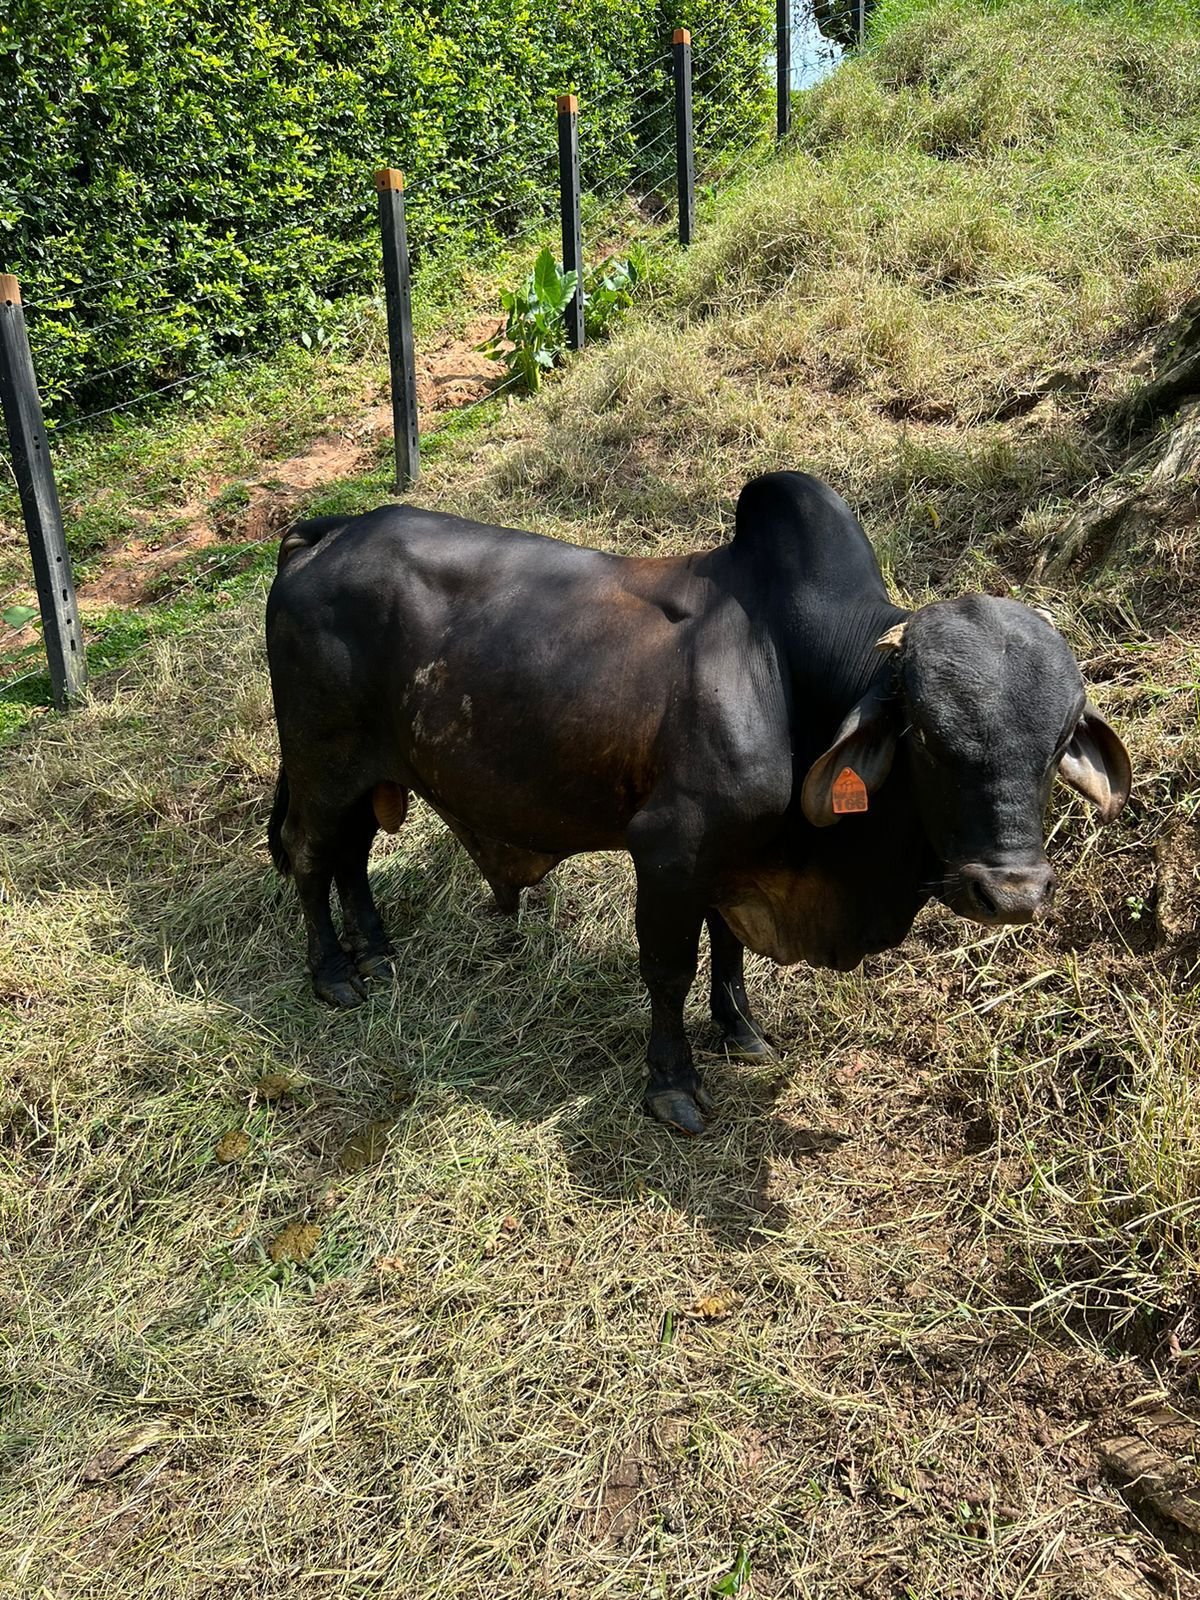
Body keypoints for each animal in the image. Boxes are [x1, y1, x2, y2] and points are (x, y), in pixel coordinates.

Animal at [265, 472, 1131, 1134]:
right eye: (923, 733)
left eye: (1059, 741)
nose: (1010, 892)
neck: (795, 673)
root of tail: (328, 533)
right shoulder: (671, 848)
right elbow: (670, 966)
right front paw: (673, 1084)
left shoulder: (731, 856)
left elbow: (729, 946)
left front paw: (740, 1028)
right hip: (320, 760)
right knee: (310, 851)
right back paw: (334, 972)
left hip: (365, 772)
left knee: (350, 854)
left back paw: (377, 951)